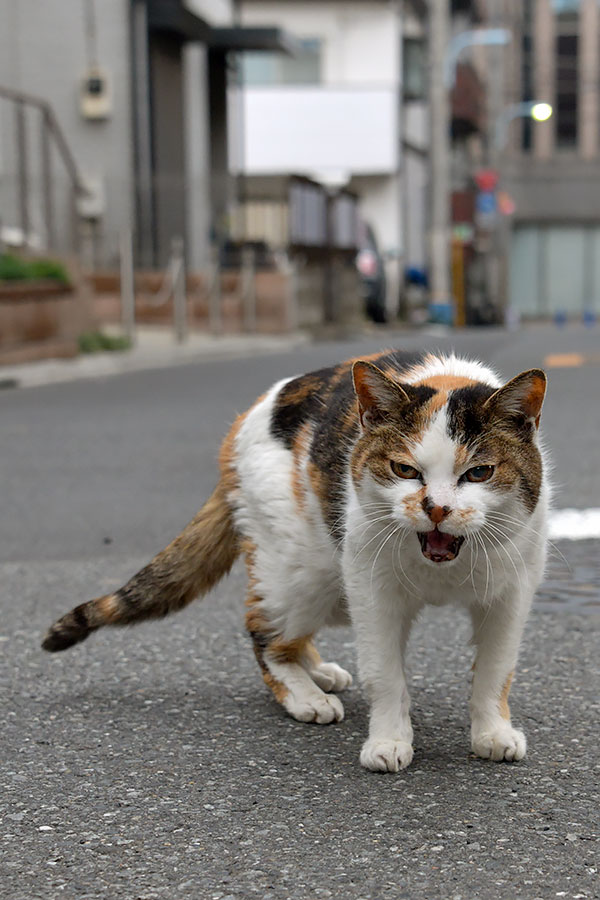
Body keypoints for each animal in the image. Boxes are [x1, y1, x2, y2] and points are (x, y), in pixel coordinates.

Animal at [43, 352, 548, 772]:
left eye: (479, 472)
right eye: (405, 470)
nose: (438, 508)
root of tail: (243, 421)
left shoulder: (510, 595)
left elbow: (495, 671)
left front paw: (492, 733)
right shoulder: (373, 591)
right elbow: (384, 672)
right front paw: (388, 741)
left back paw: (318, 671)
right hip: (306, 569)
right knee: (264, 631)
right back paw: (305, 693)